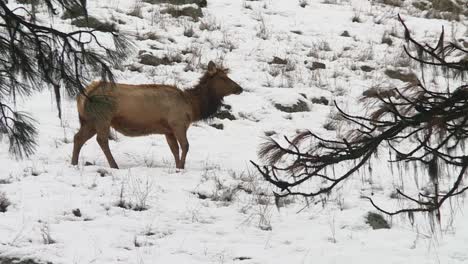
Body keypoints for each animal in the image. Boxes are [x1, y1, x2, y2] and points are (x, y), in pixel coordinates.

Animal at [72, 61, 245, 169]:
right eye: (223, 77)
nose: (240, 88)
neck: (193, 107)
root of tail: (84, 94)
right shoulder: (178, 123)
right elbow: (186, 146)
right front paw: (182, 167)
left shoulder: (168, 131)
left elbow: (175, 150)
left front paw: (178, 167)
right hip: (103, 117)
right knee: (101, 140)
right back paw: (114, 165)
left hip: (88, 120)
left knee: (78, 137)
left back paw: (73, 162)